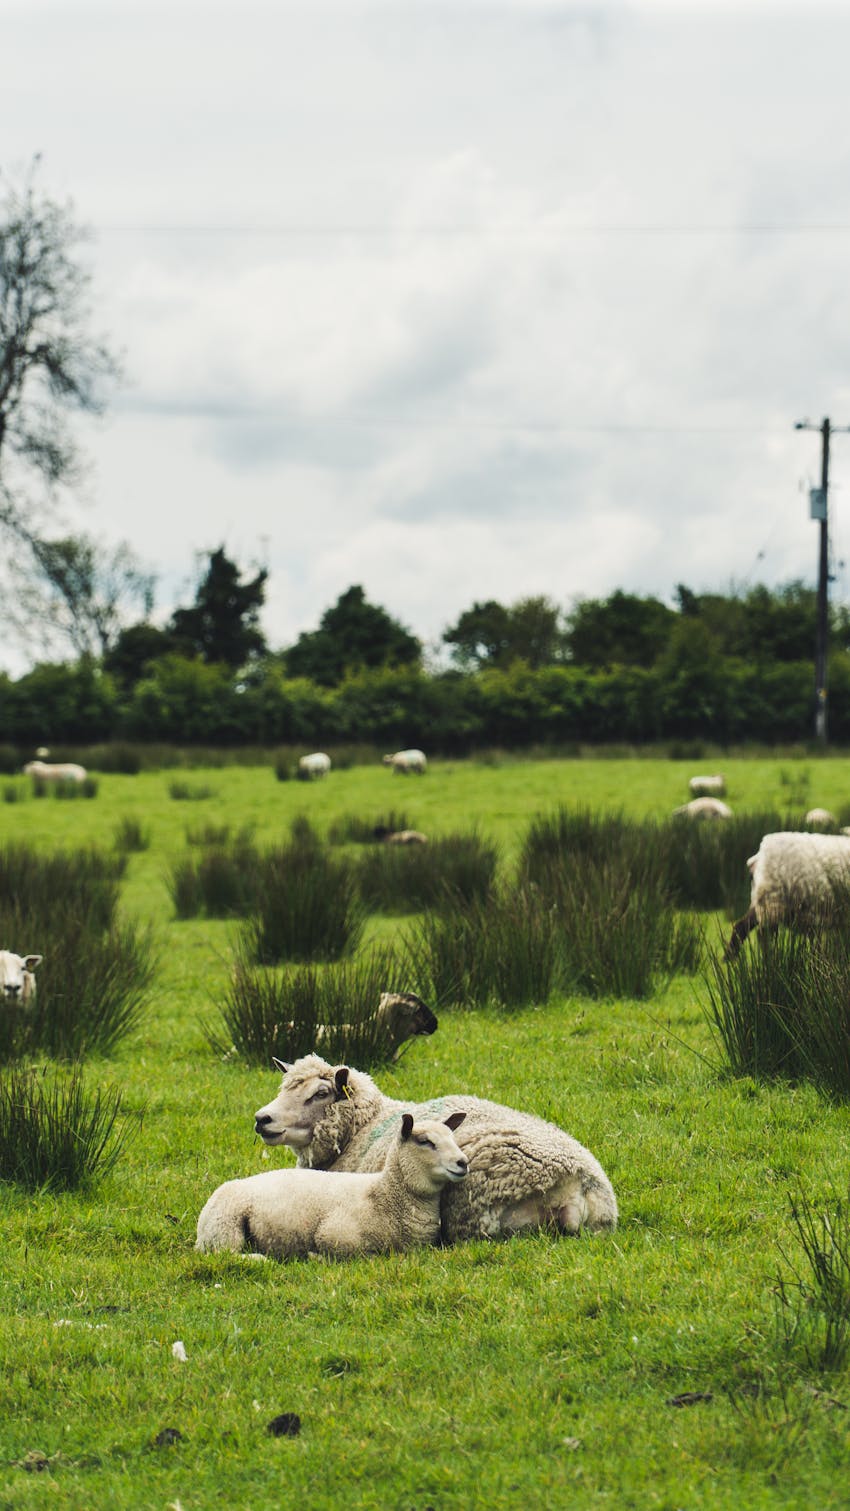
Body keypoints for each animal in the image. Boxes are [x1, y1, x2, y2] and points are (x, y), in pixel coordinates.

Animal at [196, 1106, 468, 1257]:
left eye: (452, 1138)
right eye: (425, 1142)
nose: (463, 1162)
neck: (385, 1195)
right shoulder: (334, 1235)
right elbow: (366, 1255)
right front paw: (314, 1256)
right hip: (224, 1227)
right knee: (224, 1255)